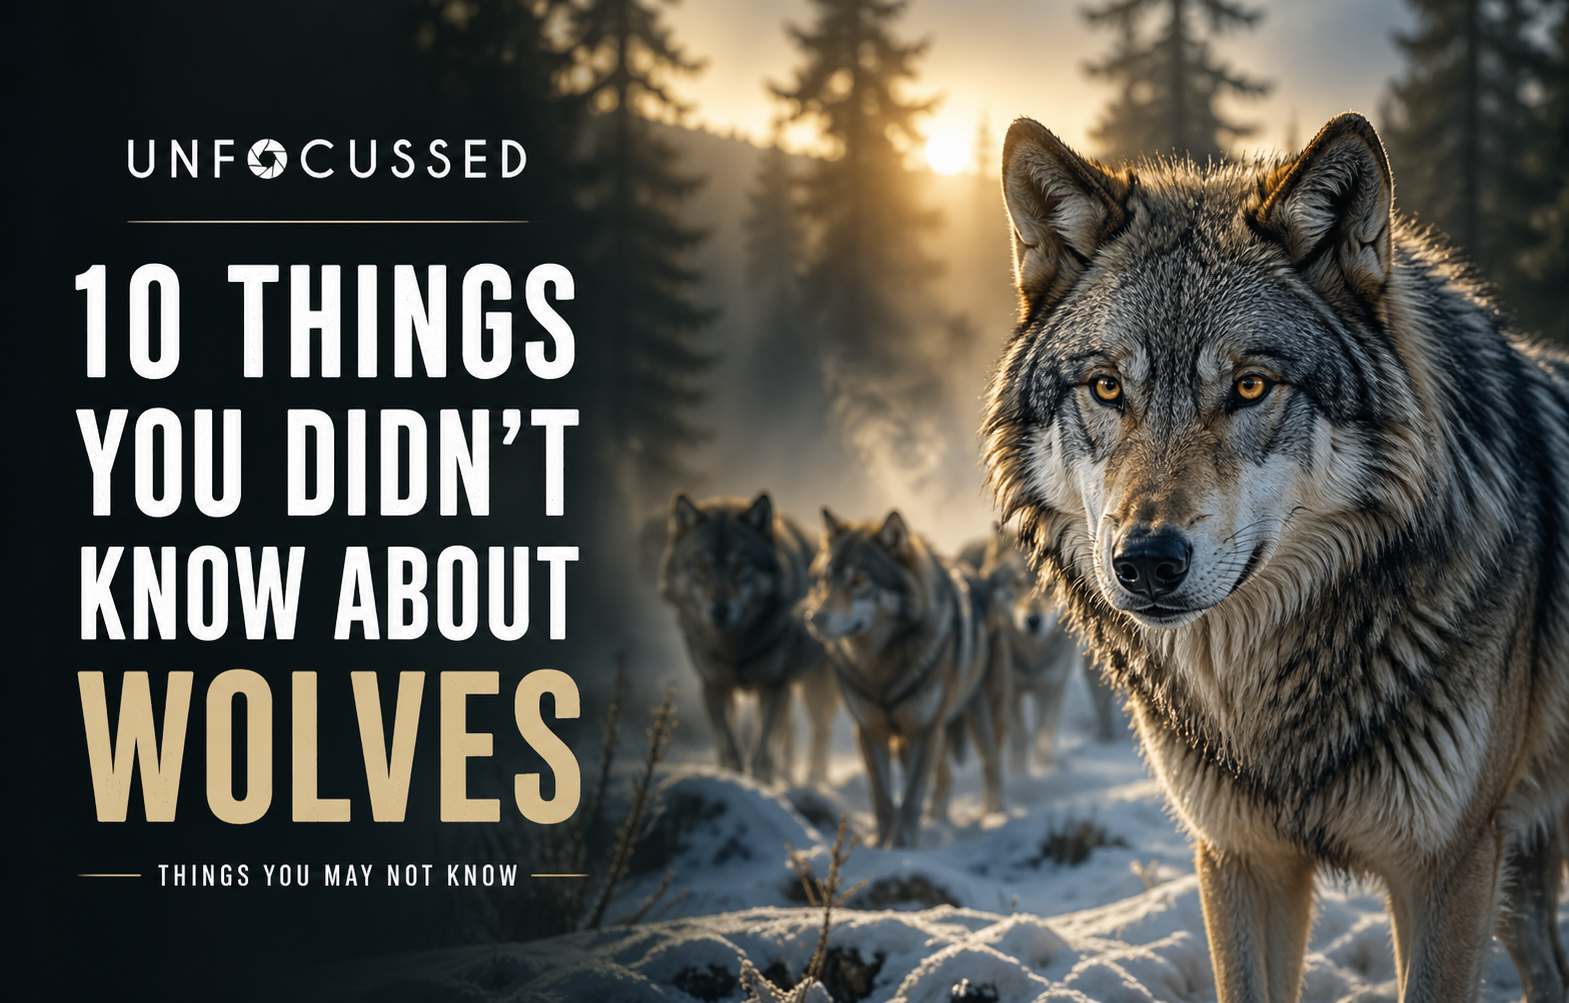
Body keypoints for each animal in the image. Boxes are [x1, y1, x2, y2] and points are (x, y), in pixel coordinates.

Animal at [658, 491, 838, 785]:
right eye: (701, 566)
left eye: (741, 565)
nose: (719, 611)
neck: (735, 649)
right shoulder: (715, 686)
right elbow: (730, 749)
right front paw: (734, 781)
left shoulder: (772, 687)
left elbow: (762, 753)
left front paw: (763, 786)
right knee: (790, 731)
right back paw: (787, 777)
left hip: (815, 689)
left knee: (821, 733)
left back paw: (815, 781)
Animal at [802, 509, 1010, 848]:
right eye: (823, 580)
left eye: (859, 580)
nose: (814, 619)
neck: (881, 667)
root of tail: (977, 574)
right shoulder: (871, 731)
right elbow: (884, 800)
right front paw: (882, 846)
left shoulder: (923, 732)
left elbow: (911, 798)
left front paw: (902, 847)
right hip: (911, 740)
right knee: (945, 775)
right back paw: (938, 821)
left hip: (980, 718)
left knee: (992, 766)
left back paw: (994, 817)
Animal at [982, 111, 1569, 1003]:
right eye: (1107, 387)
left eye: (1251, 387)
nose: (1145, 560)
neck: (1264, 698)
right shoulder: (1240, 858)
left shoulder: (1448, 866)